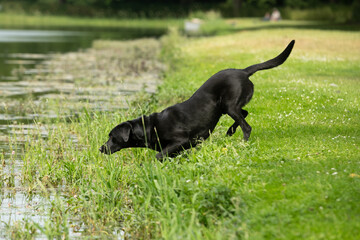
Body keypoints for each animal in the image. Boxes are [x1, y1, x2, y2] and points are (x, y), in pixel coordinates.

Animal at [100, 40, 294, 158]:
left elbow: (159, 155)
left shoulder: (181, 140)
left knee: (247, 126)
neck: (149, 128)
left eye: (112, 137)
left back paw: (242, 142)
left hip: (229, 105)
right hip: (227, 107)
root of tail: (243, 71)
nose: (101, 148)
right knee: (245, 113)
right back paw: (230, 131)